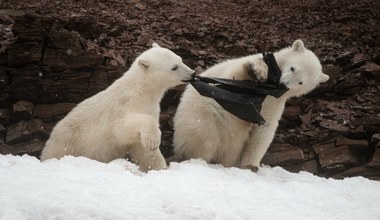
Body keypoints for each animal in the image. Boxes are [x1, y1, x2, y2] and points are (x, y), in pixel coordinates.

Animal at [41, 43, 194, 172]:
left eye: (180, 59)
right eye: (174, 67)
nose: (192, 73)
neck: (140, 91)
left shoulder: (151, 108)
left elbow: (142, 149)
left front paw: (158, 167)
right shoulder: (122, 108)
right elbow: (123, 129)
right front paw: (153, 141)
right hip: (67, 143)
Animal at [173, 39, 330, 171]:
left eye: (301, 82)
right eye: (292, 68)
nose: (284, 84)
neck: (271, 88)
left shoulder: (275, 103)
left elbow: (264, 129)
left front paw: (251, 166)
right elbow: (234, 76)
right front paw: (256, 70)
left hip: (232, 142)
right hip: (202, 116)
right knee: (205, 138)